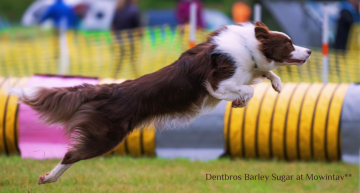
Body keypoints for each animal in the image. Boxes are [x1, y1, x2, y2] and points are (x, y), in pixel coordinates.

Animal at [10, 20, 310, 184]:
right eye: (289, 44)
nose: (308, 51)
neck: (250, 47)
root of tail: (111, 89)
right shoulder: (218, 84)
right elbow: (246, 90)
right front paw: (241, 102)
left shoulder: (247, 70)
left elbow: (264, 73)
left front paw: (276, 83)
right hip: (106, 136)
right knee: (71, 154)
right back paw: (48, 178)